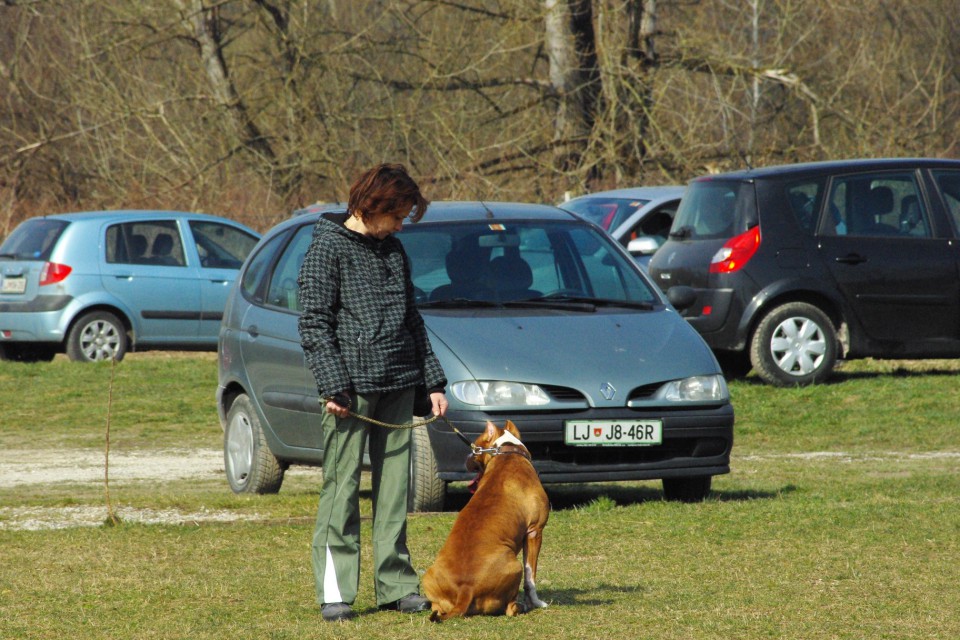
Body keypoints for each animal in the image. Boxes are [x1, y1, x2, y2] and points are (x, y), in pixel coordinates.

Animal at [424, 420, 552, 620]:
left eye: (476, 447)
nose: (467, 456)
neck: (507, 452)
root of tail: (466, 589)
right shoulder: (534, 532)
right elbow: (531, 577)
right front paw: (537, 602)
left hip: (428, 576)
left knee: (435, 606)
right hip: (515, 566)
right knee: (510, 608)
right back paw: (520, 606)